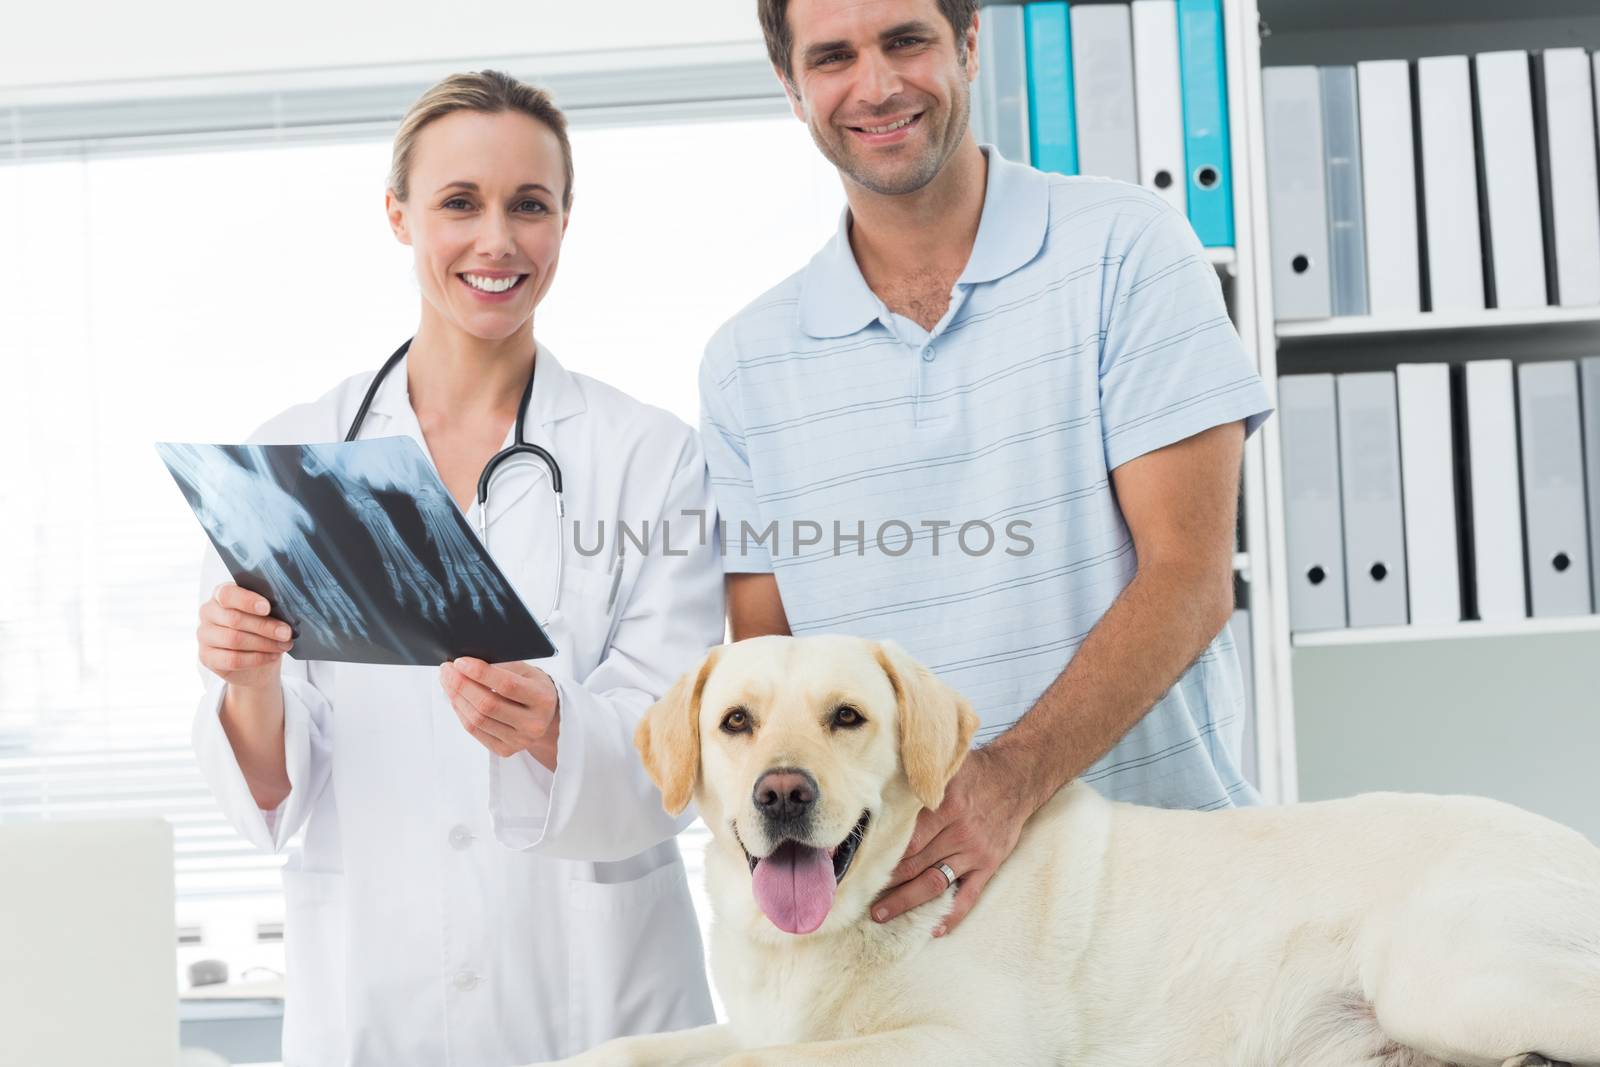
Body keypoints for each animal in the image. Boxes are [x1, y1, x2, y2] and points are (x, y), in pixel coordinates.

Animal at [540, 639, 1600, 1062]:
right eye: (736, 722)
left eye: (847, 716)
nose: (783, 792)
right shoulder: (760, 1020)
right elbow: (638, 1046)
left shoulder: (963, 1045)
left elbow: (759, 1061)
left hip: (1444, 975)